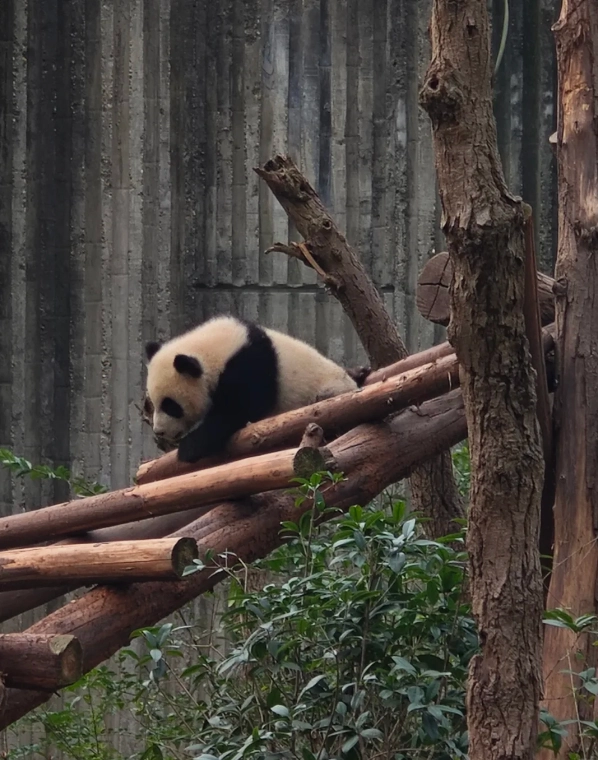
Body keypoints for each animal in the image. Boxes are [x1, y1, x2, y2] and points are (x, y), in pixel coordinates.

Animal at [145, 315, 364, 463]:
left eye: (171, 406)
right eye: (154, 404)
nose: (159, 431)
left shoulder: (251, 367)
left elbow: (238, 410)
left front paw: (189, 447)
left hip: (328, 391)